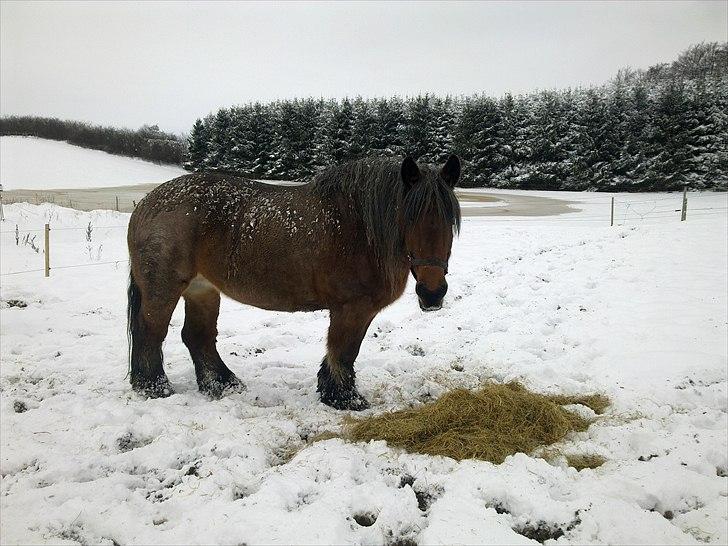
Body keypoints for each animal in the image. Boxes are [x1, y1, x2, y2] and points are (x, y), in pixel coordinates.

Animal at [126, 154, 460, 408]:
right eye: (409, 217)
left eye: (449, 220)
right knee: (150, 331)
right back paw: (154, 387)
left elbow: (342, 351)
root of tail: (145, 205)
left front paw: (331, 390)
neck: (361, 229)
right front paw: (344, 398)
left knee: (198, 337)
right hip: (163, 288)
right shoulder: (351, 308)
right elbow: (344, 351)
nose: (432, 293)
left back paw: (222, 384)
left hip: (202, 290)